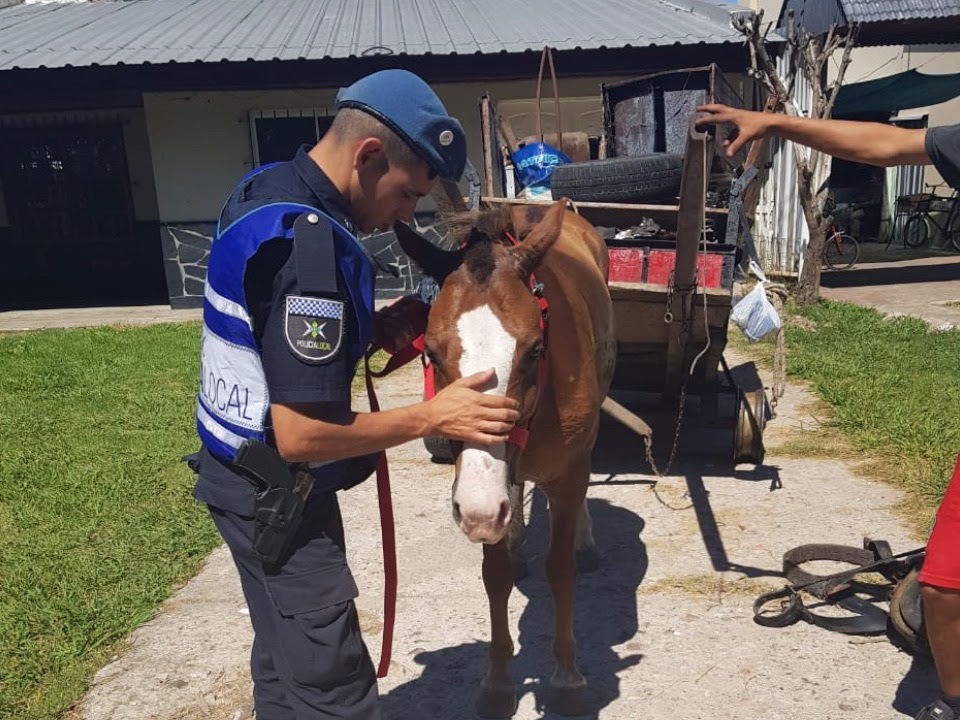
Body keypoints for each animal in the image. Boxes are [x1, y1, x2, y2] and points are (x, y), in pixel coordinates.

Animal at [395, 198, 616, 717]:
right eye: (431, 352)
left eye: (535, 349)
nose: (479, 510)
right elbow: (494, 575)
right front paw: (497, 683)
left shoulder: (569, 471)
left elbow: (560, 569)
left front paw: (566, 677)